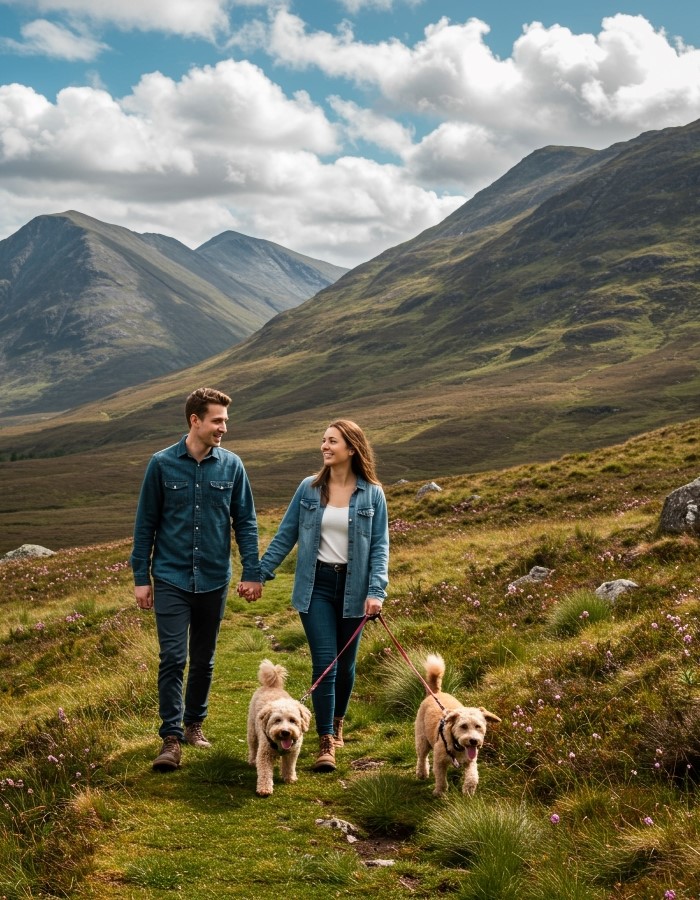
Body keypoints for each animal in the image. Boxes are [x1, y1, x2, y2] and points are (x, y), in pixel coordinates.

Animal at [247, 660, 310, 796]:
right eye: (277, 720)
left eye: (292, 720)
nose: (285, 732)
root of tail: (272, 686)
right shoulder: (264, 754)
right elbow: (265, 773)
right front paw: (264, 789)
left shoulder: (293, 752)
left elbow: (289, 766)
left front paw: (289, 778)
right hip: (252, 732)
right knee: (253, 748)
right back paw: (252, 761)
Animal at [412, 652, 500, 796]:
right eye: (463, 726)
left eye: (478, 726)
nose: (473, 741)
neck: (458, 746)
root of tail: (435, 693)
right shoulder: (439, 761)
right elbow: (441, 778)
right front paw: (440, 792)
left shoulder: (470, 760)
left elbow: (472, 776)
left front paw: (469, 789)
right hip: (422, 739)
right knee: (422, 756)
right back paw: (422, 772)